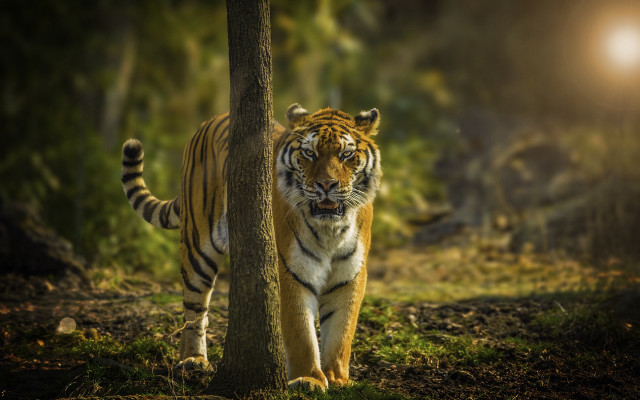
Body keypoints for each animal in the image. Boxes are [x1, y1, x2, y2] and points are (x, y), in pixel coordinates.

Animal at [121, 104, 381, 391]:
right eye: (309, 153)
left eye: (346, 154)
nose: (326, 185)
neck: (330, 229)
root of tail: (212, 119)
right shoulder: (289, 271)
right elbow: (301, 333)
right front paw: (308, 379)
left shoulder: (350, 275)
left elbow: (341, 332)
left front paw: (336, 379)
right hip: (197, 246)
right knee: (194, 311)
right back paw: (193, 360)